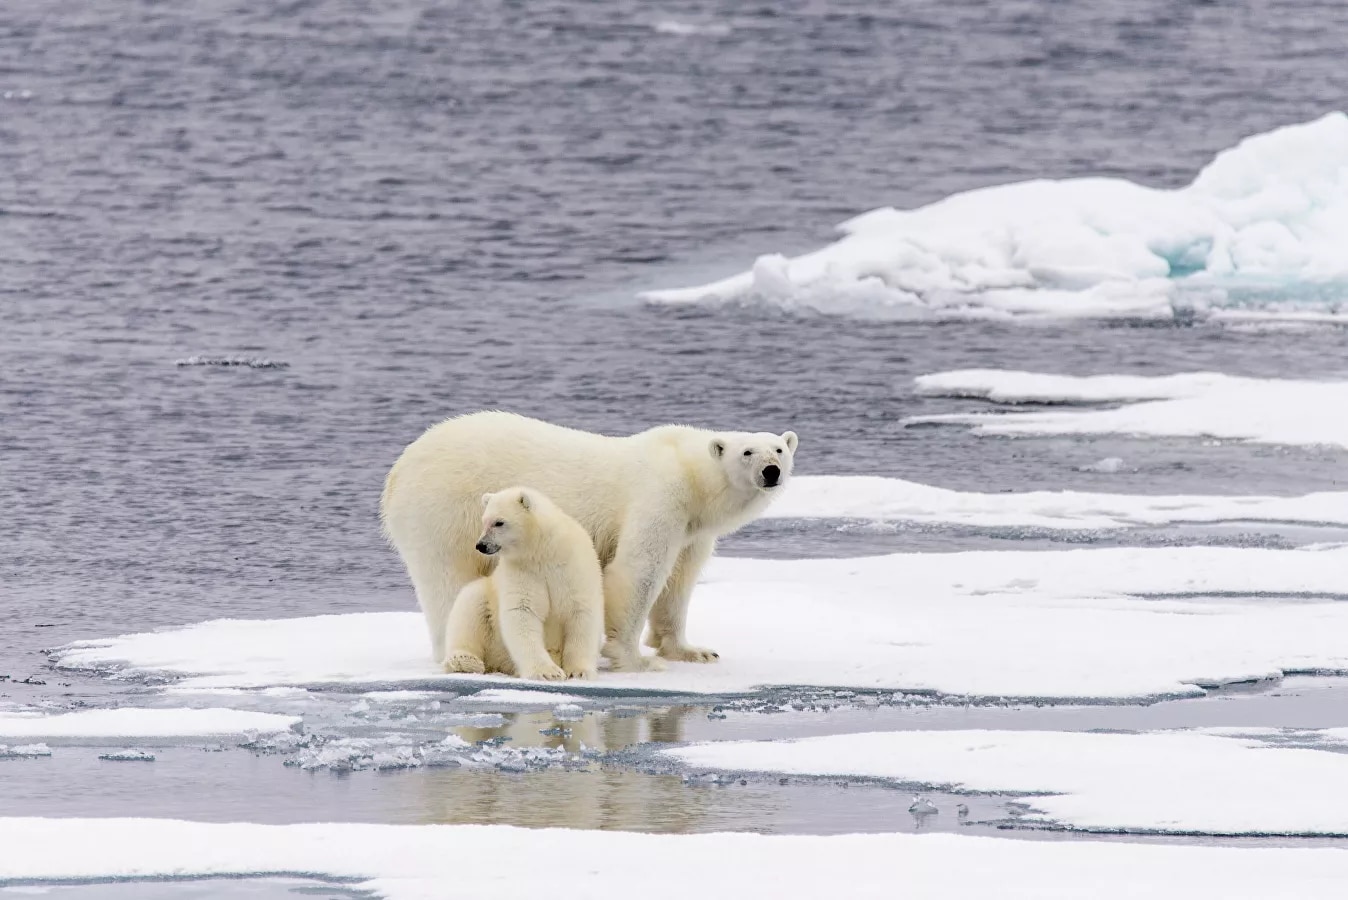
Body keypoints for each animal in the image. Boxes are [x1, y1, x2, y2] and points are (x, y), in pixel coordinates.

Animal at [442, 487, 606, 679]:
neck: (542, 550)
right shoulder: (522, 570)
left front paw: (579, 671)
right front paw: (548, 672)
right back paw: (465, 661)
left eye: (499, 522)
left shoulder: (571, 566)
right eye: (484, 521)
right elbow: (522, 610)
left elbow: (580, 610)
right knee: (469, 605)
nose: (481, 545)